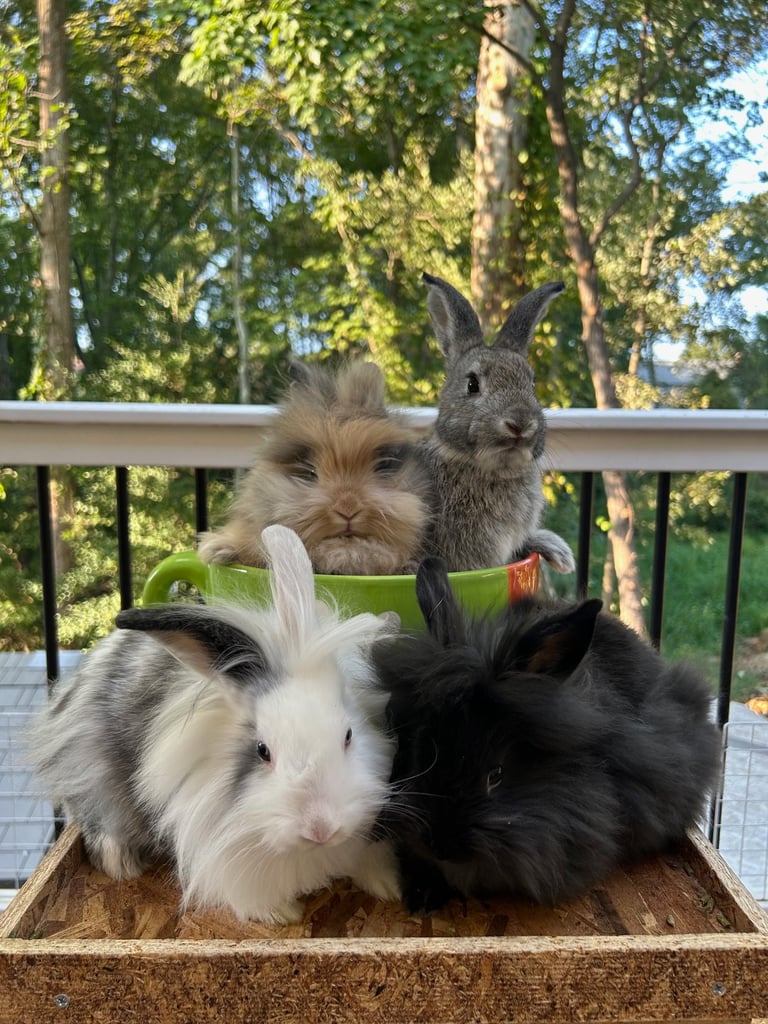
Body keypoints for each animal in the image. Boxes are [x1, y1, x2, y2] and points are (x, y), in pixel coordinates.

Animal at [27, 525, 403, 924]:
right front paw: (282, 913)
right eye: (262, 750)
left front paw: (387, 887)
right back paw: (122, 863)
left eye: (348, 736)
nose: (321, 828)